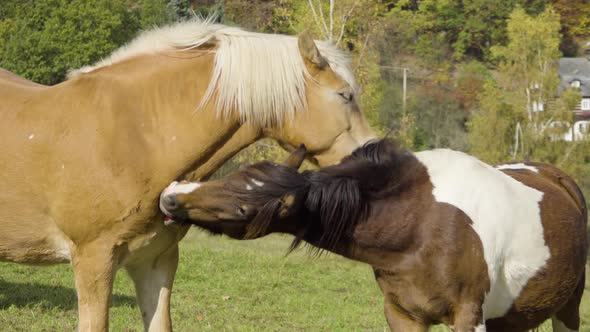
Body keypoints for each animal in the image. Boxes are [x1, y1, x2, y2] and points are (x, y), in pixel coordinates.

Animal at [160, 139, 588, 332]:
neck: (421, 226)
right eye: (235, 176)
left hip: (566, 310)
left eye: (243, 206)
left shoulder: (467, 318)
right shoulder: (404, 316)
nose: (170, 195)